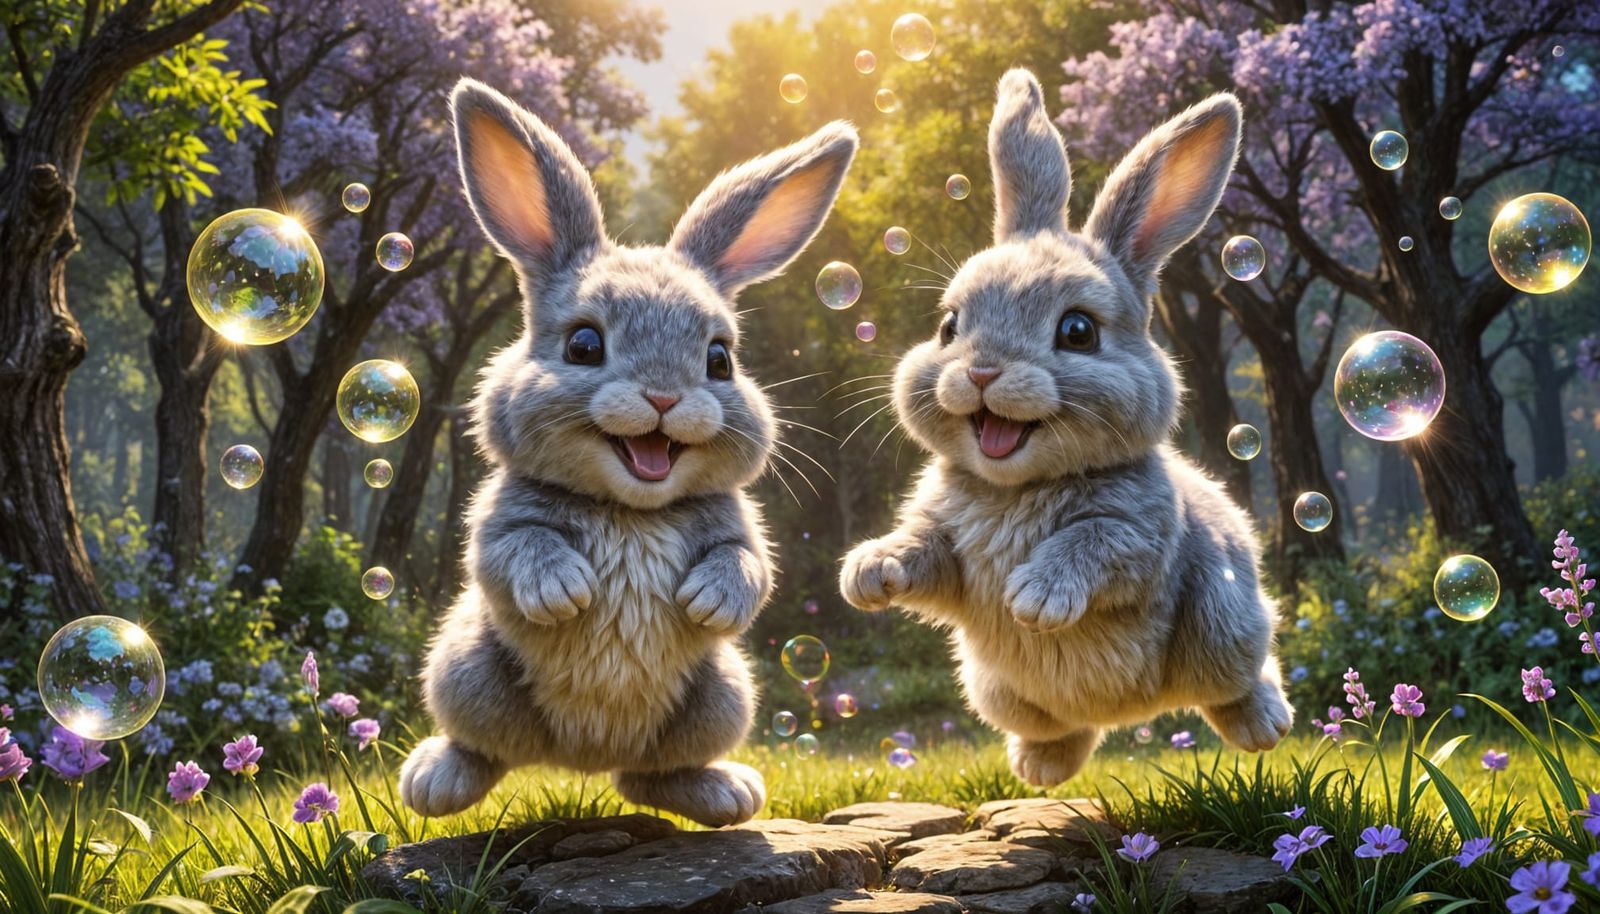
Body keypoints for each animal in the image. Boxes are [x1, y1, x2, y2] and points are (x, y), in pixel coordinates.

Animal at [399, 78, 858, 827]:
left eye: (720, 359)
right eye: (583, 345)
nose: (664, 397)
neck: (631, 510)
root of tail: (584, 755)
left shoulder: (736, 527)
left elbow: (749, 566)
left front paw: (710, 602)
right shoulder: (502, 519)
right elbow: (512, 551)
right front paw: (564, 590)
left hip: (721, 694)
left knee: (648, 779)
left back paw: (724, 793)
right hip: (464, 670)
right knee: (485, 748)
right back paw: (436, 780)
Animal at [839, 69, 1293, 788]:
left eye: (1078, 331)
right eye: (949, 326)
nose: (982, 371)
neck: (1016, 487)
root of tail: (1136, 714)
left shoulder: (1139, 538)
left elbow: (1093, 541)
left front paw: (1036, 597)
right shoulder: (944, 543)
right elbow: (920, 551)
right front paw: (869, 572)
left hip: (1224, 629)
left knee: (1241, 680)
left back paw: (1264, 725)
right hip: (997, 689)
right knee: (1065, 729)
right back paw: (1040, 768)